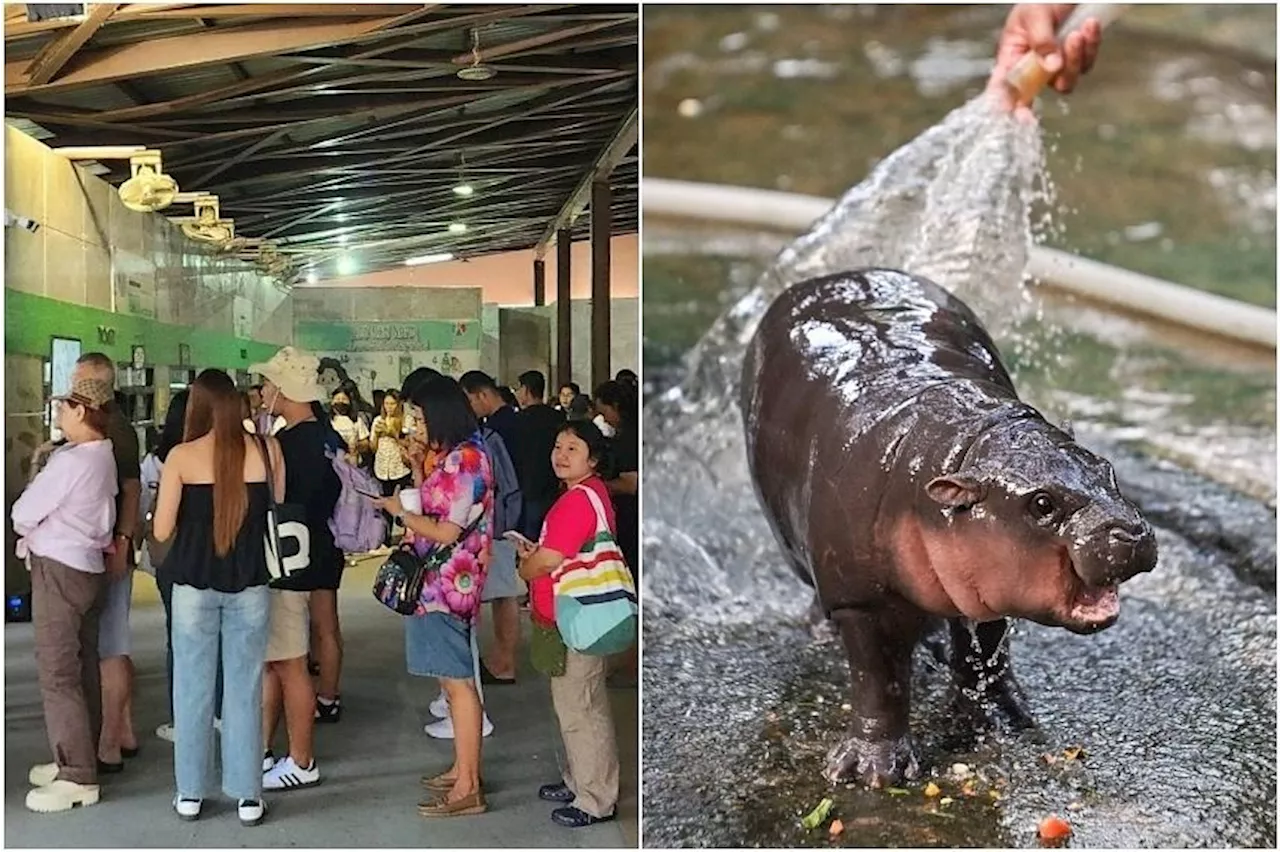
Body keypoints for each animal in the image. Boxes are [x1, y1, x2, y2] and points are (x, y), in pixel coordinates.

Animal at [742, 268, 1162, 788]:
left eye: (1106, 468)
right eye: (1042, 503)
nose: (1132, 531)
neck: (961, 448)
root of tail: (834, 276)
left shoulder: (987, 585)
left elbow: (986, 655)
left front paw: (1003, 721)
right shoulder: (861, 600)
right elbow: (879, 680)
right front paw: (872, 773)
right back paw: (823, 633)